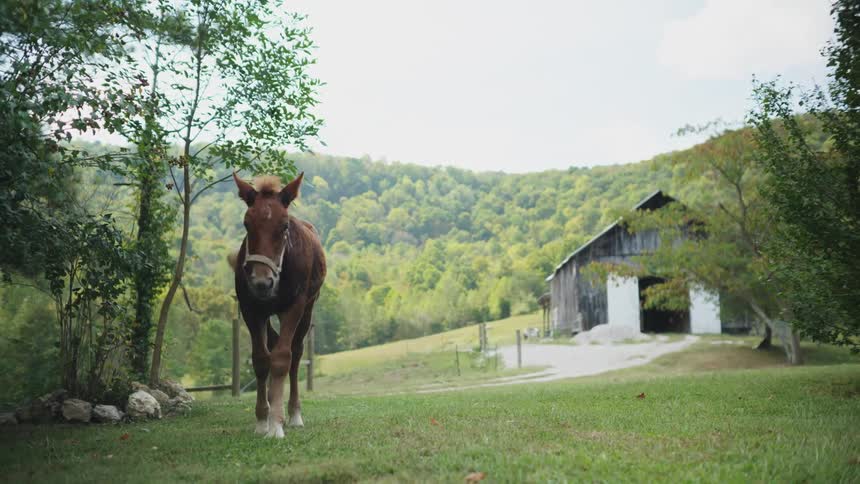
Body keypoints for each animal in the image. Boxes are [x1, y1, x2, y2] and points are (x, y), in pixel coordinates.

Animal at [230, 172, 326, 439]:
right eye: (246, 224)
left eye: (284, 226)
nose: (262, 282)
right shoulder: (251, 310)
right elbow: (261, 360)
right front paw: (262, 419)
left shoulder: (294, 307)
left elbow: (283, 358)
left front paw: (276, 424)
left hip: (307, 311)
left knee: (296, 355)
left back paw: (293, 413)